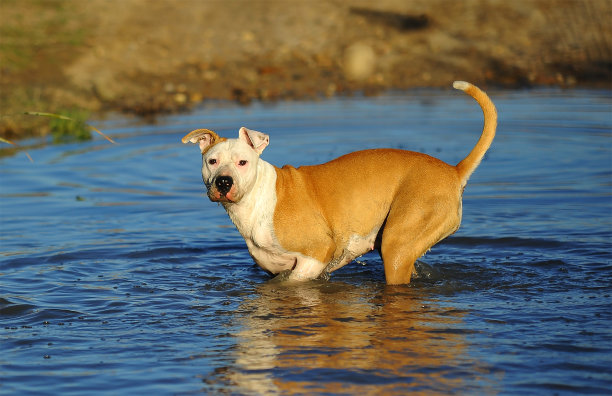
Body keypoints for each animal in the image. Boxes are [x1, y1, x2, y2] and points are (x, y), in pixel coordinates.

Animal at [183, 81, 498, 284]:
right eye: (212, 161)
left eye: (242, 162)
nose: (224, 183)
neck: (256, 200)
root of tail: (453, 171)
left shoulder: (316, 255)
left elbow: (292, 282)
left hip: (397, 247)